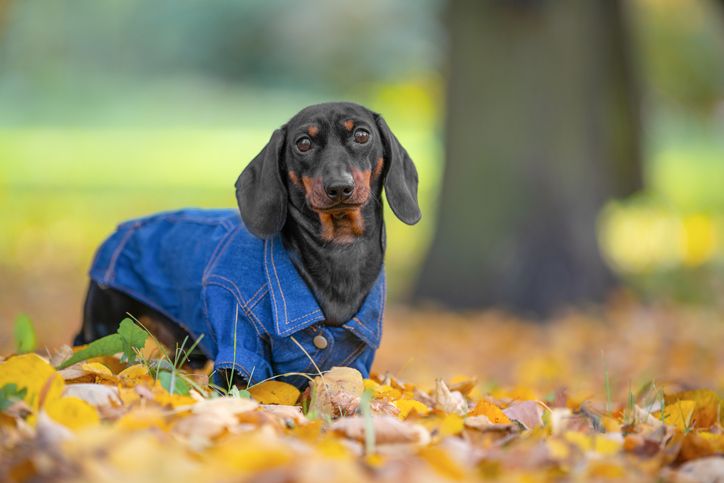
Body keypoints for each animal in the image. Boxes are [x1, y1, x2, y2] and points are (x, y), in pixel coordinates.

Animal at [75, 102, 418, 390]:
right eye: (303, 143)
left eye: (362, 135)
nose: (339, 188)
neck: (338, 254)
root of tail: (122, 228)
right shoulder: (238, 347)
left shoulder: (356, 360)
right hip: (104, 325)